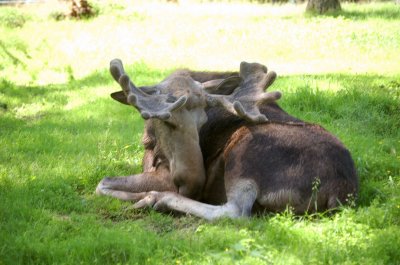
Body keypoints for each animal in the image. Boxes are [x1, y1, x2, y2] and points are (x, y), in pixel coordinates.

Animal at [95, 58, 358, 220]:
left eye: (203, 122)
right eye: (166, 119)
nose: (193, 182)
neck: (150, 142)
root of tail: (340, 194)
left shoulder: (166, 177)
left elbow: (102, 183)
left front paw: (140, 194)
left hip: (243, 153)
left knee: (234, 212)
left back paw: (155, 198)